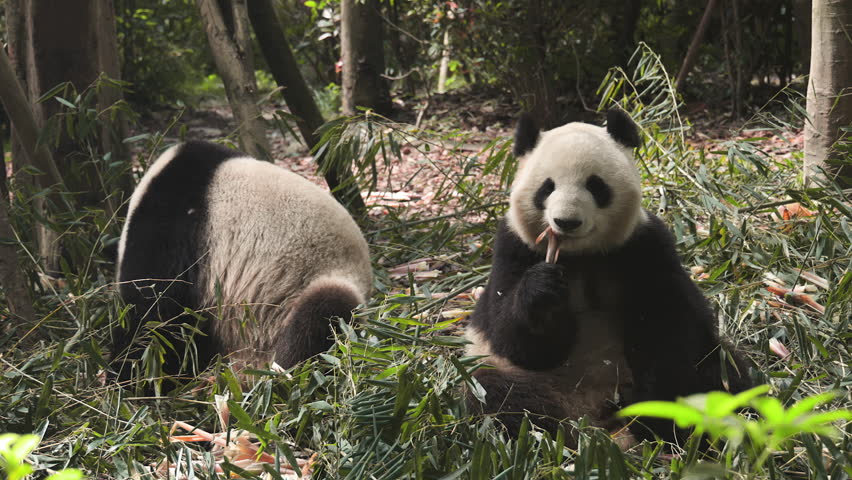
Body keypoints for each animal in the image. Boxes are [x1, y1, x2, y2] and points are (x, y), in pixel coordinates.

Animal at [466, 109, 752, 446]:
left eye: (596, 186)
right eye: (547, 188)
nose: (566, 221)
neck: (581, 255)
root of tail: (592, 414)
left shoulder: (644, 248)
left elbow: (670, 329)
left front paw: (657, 411)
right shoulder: (514, 248)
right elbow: (516, 339)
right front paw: (543, 290)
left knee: (724, 376)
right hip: (515, 377)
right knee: (501, 397)